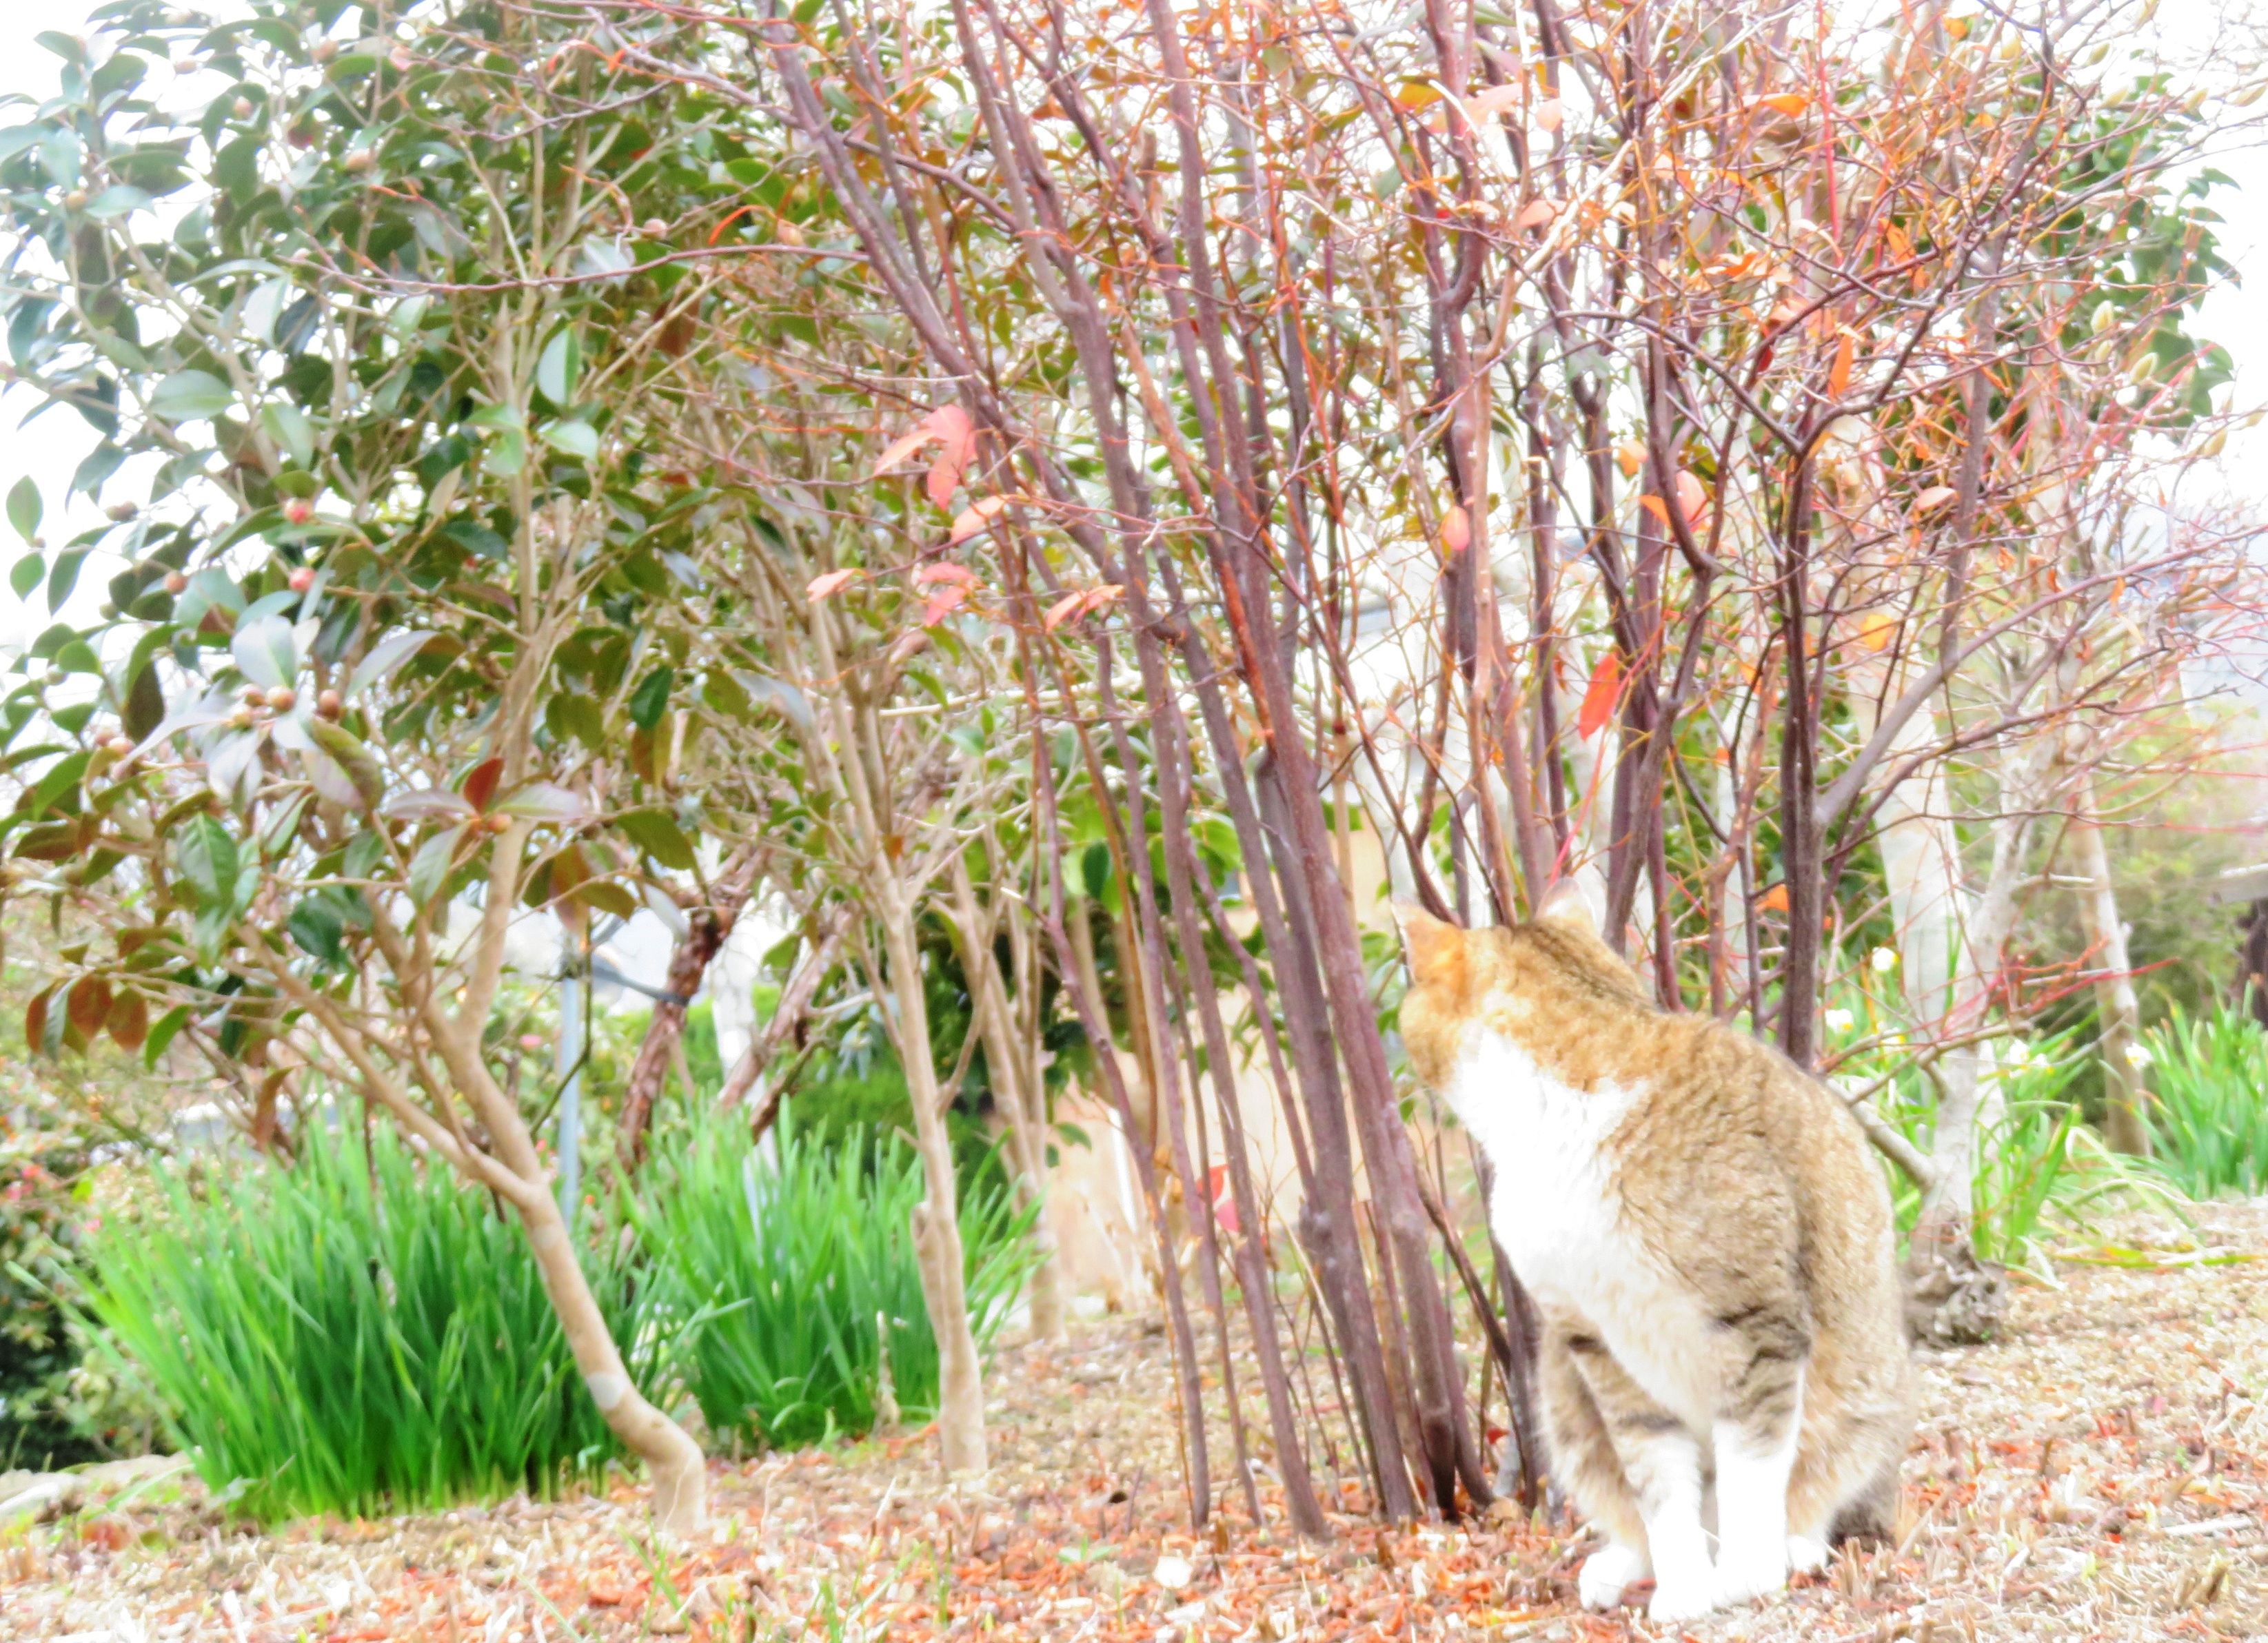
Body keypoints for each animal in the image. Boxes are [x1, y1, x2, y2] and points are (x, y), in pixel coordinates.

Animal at [1397, 884, 1914, 1613]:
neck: (1565, 1111)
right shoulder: (1596, 1342)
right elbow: (1657, 1480)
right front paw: (1685, 1586)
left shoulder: (1757, 1324)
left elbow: (1751, 1465)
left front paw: (1746, 1574)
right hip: (1561, 1391)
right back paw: (1623, 1565)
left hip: (1862, 1405)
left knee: (1821, 1490)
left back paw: (1791, 1548)